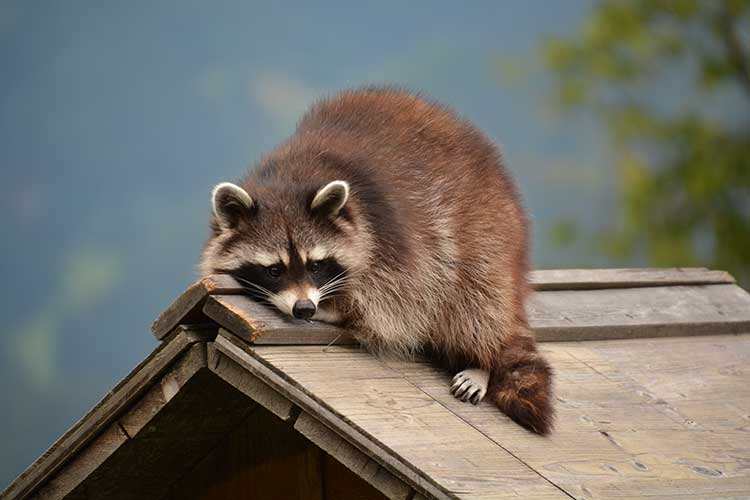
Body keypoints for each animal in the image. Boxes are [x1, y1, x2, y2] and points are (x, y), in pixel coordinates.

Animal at [198, 85, 552, 434]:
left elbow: (396, 305)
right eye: (274, 270)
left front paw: (339, 310)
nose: (305, 308)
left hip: (484, 231)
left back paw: (481, 360)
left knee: (476, 301)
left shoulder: (395, 240)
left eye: (316, 265)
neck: (288, 182)